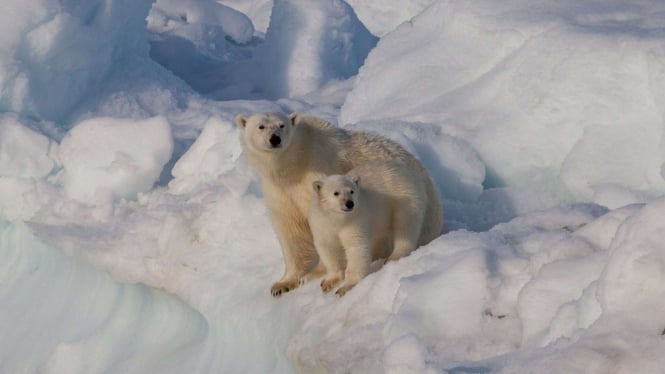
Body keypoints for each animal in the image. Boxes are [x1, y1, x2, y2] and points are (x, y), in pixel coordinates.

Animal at [308, 160, 428, 296]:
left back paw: (394, 256)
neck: (337, 220)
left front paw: (345, 287)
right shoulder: (321, 224)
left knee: (405, 226)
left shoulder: (355, 220)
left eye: (352, 191)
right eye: (336, 193)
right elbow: (328, 248)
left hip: (405, 197)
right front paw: (328, 282)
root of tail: (410, 171)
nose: (349, 203)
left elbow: (356, 247)